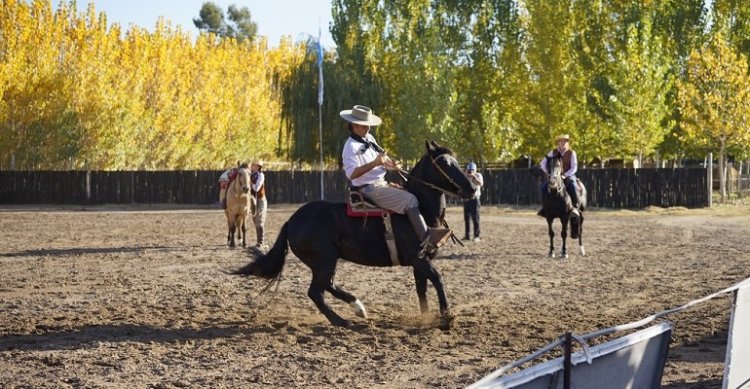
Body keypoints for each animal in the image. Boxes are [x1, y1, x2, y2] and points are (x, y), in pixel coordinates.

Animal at [231, 140, 476, 328]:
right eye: (444, 163)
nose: (472, 188)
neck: (421, 211)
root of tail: (291, 220)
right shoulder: (419, 259)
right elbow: (437, 280)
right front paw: (446, 319)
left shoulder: (419, 263)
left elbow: (422, 289)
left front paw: (425, 317)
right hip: (325, 259)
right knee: (316, 291)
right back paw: (342, 321)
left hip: (324, 261)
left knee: (327, 285)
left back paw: (358, 308)